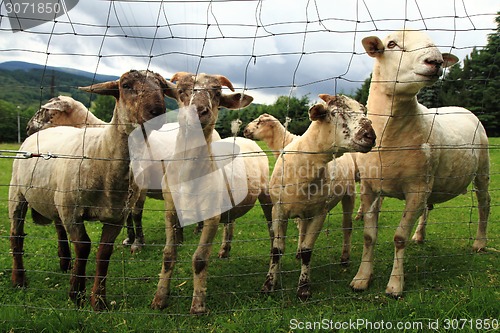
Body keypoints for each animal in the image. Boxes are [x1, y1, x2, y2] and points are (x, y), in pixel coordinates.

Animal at [9, 68, 170, 310]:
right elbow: (84, 246)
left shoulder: (115, 215)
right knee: (17, 236)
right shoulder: (71, 211)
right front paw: (77, 292)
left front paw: (98, 300)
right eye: (125, 85)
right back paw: (20, 279)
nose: (158, 111)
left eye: (161, 86)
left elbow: (104, 252)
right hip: (18, 194)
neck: (100, 148)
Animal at [151, 71, 274, 312]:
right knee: (231, 222)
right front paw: (159, 298)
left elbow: (199, 259)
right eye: (181, 91)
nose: (199, 111)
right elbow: (168, 255)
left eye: (217, 93)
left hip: (266, 195)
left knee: (273, 231)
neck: (189, 175)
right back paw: (225, 250)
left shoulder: (211, 216)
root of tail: (241, 137)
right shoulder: (170, 211)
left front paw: (198, 305)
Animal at [243, 113, 360, 264]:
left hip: (350, 192)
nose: (245, 130)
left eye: (259, 122)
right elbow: (301, 227)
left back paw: (345, 257)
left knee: (347, 225)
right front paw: (299, 251)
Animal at [262, 93, 376, 298]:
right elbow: (276, 250)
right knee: (302, 228)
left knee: (347, 227)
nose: (370, 136)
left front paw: (304, 288)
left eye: (364, 111)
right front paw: (268, 285)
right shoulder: (278, 210)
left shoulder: (320, 213)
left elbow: (308, 250)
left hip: (348, 194)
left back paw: (344, 258)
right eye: (334, 112)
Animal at [350, 29, 490, 296]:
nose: (435, 61)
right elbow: (368, 236)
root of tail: (461, 108)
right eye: (391, 44)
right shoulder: (370, 188)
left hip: (483, 169)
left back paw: (479, 242)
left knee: (484, 203)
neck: (390, 135)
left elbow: (399, 237)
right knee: (428, 208)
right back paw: (420, 235)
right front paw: (361, 278)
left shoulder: (416, 188)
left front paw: (395, 285)